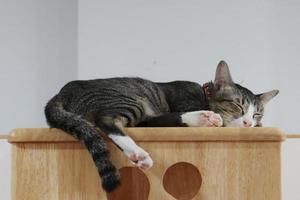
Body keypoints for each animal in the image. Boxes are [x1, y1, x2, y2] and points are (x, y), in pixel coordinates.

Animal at [44, 61, 278, 192]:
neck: (204, 95)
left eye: (257, 113)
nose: (248, 123)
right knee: (106, 120)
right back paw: (139, 152)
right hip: (128, 99)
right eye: (238, 105)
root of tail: (62, 92)